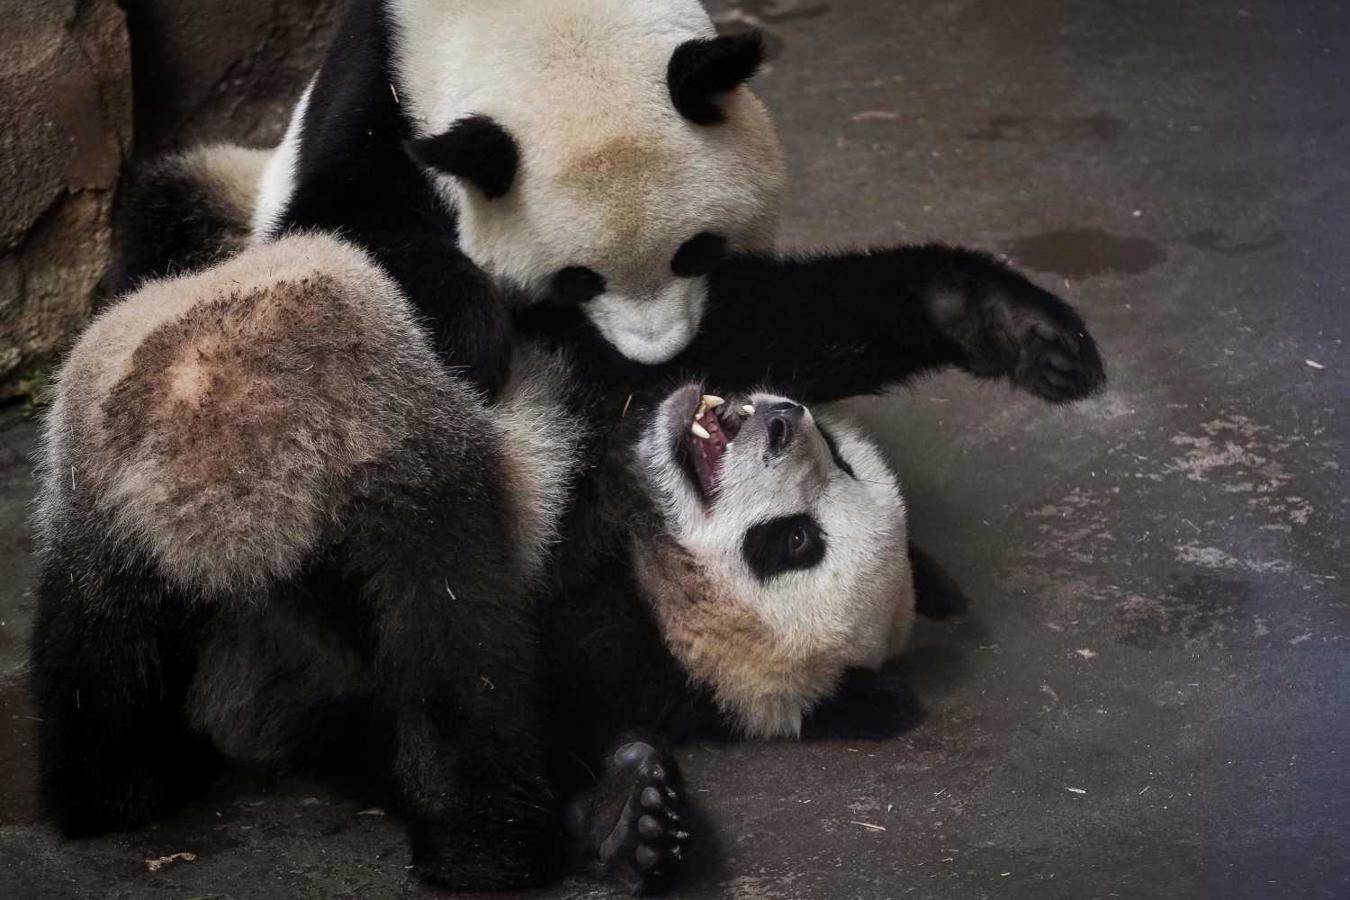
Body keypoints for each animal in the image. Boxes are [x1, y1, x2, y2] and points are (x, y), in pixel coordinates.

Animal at [36, 234, 928, 895]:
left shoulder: (604, 648)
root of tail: (224, 476)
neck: (653, 580)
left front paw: (629, 819)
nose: (783, 422)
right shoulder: (601, 402)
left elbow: (389, 724)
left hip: (174, 491)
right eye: (839, 457)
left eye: (794, 543)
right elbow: (737, 328)